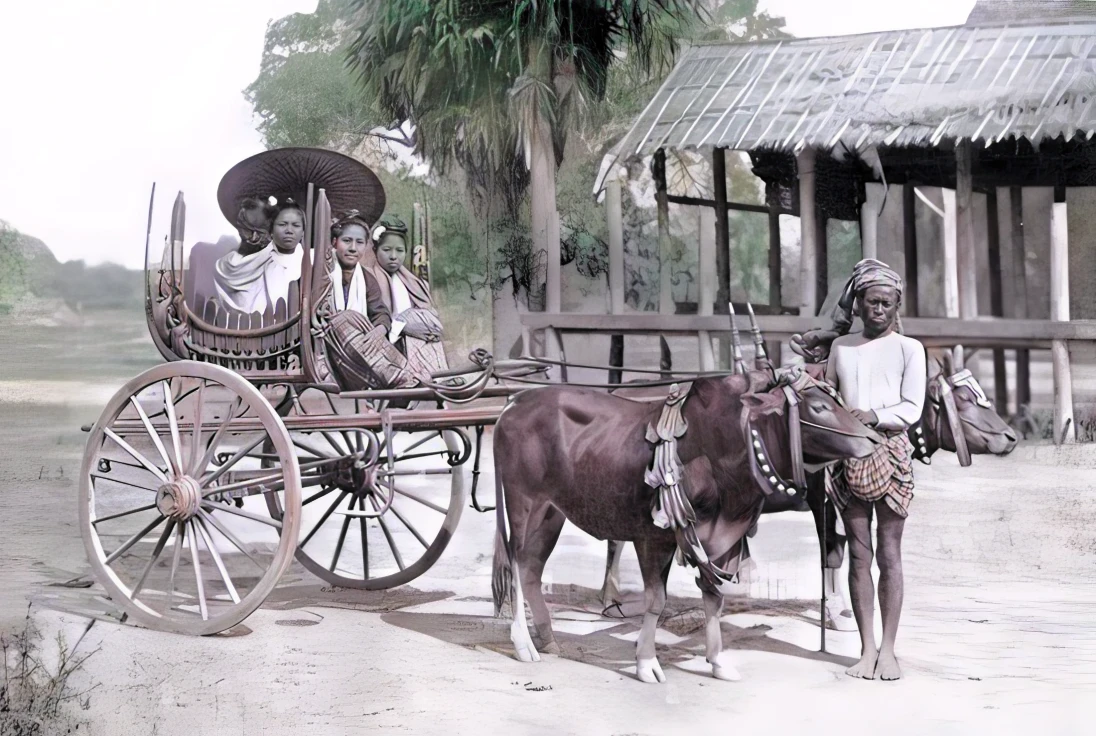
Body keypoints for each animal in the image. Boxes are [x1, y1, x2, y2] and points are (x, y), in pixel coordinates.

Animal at [493, 368, 876, 683]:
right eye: (819, 407)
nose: (872, 438)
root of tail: (515, 402)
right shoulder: (654, 536)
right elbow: (656, 600)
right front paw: (647, 663)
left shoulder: (724, 540)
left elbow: (714, 597)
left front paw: (718, 662)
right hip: (523, 505)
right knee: (514, 564)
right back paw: (523, 643)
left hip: (551, 512)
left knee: (531, 567)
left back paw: (547, 638)